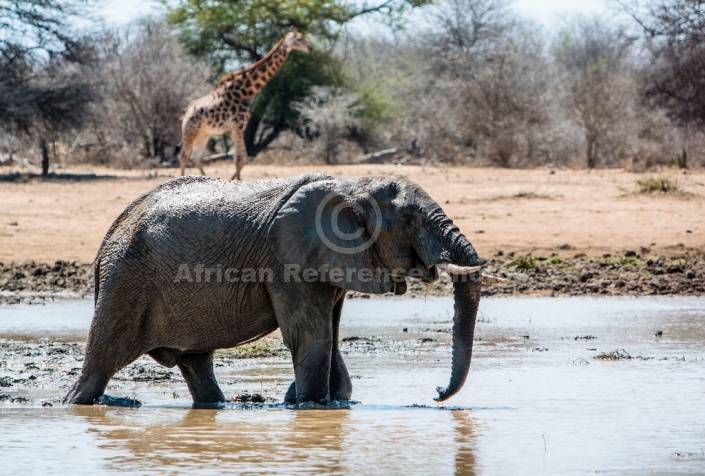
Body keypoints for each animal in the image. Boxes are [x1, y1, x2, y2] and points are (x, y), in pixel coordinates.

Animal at [64, 173, 484, 408]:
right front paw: (310, 404)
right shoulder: (288, 262)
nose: (435, 392)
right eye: (409, 219)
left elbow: (329, 335)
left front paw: (321, 400)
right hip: (126, 283)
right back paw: (79, 403)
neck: (351, 184)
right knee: (101, 362)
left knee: (196, 364)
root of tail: (107, 241)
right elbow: (310, 336)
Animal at [179, 29, 310, 180]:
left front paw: (232, 180)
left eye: (303, 38)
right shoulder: (237, 126)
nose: (310, 48)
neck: (245, 92)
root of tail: (186, 112)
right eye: (299, 39)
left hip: (204, 133)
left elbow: (244, 159)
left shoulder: (237, 129)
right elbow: (239, 159)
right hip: (191, 132)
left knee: (196, 158)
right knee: (183, 156)